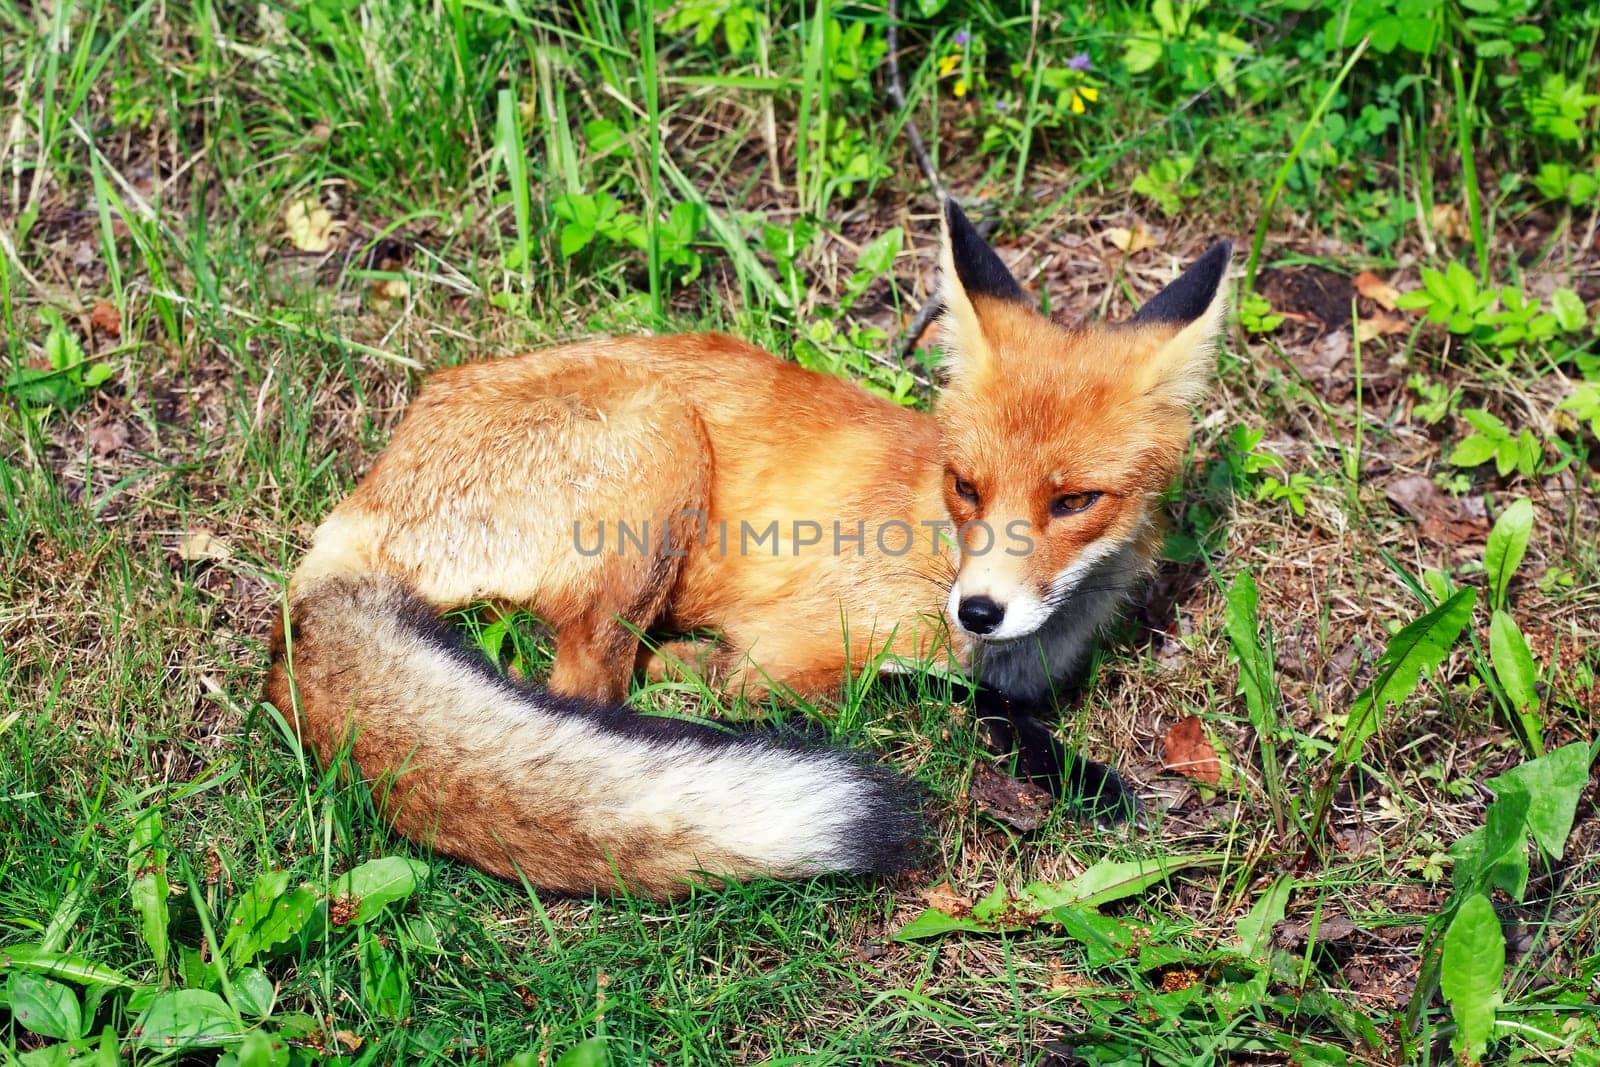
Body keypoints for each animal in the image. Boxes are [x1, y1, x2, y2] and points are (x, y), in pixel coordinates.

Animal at [268, 202, 1228, 902]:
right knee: (587, 692)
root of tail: (355, 509)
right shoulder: (797, 646)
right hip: (662, 440)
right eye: (967, 485)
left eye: (1074, 502)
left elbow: (994, 702)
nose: (979, 610)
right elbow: (889, 688)